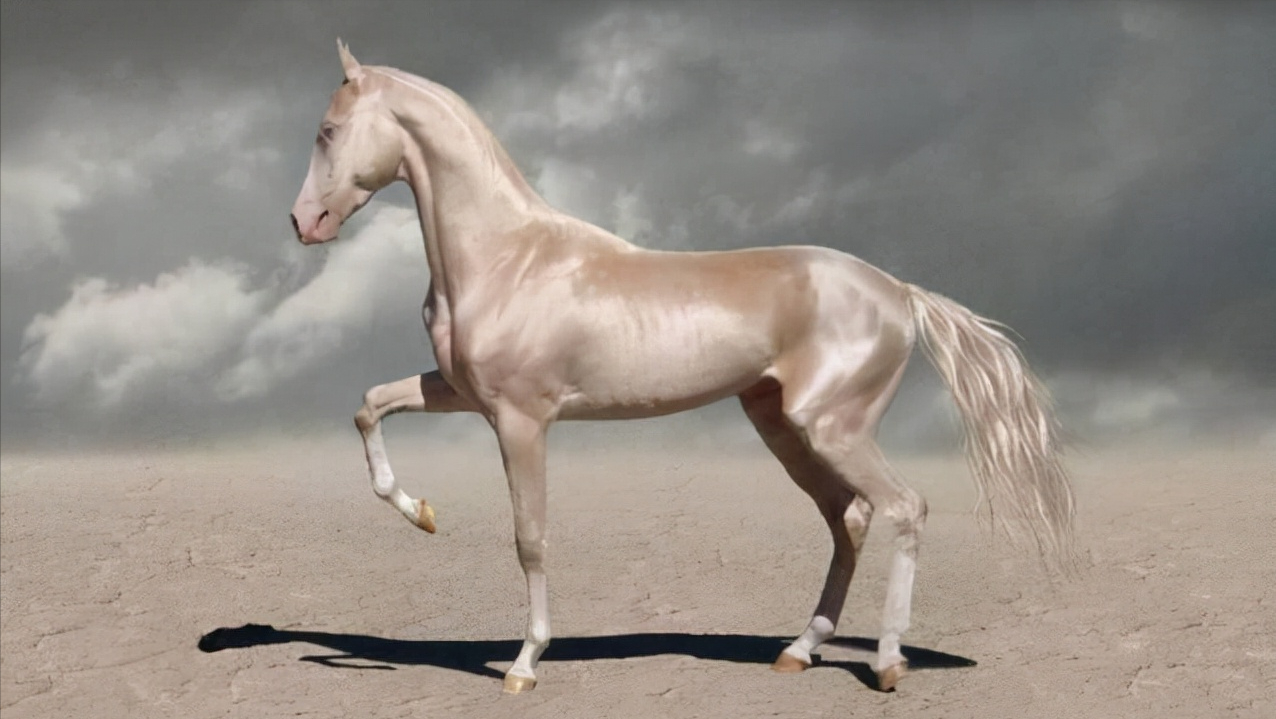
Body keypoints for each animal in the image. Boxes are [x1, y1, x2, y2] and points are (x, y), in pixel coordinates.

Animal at [288, 40, 1076, 695]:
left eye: (327, 131)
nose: (304, 223)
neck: (506, 257)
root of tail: (899, 291)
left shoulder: (521, 420)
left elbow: (530, 537)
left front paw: (523, 664)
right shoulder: (460, 393)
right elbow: (369, 404)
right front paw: (420, 512)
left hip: (833, 427)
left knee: (903, 507)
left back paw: (886, 663)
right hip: (784, 427)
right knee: (848, 518)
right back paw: (798, 651)